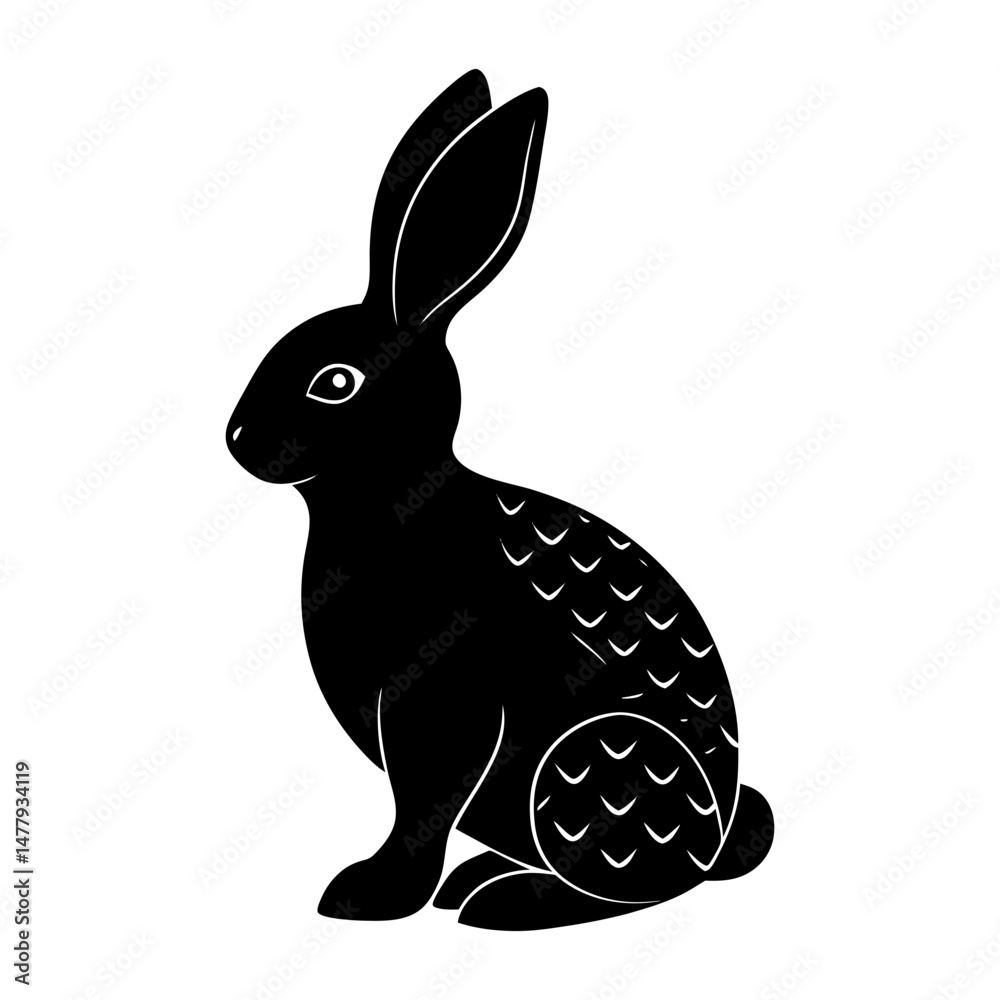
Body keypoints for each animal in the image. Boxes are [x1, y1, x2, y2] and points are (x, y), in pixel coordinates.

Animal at [226, 69, 773, 931]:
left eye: (335, 382)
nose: (239, 437)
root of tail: (719, 840)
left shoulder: (444, 702)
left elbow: (423, 803)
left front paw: (368, 896)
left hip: (593, 766)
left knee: (638, 885)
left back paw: (503, 902)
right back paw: (481, 882)